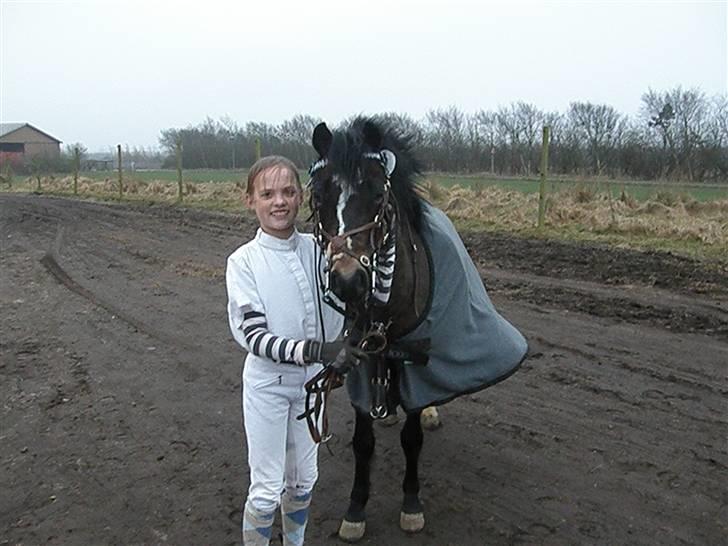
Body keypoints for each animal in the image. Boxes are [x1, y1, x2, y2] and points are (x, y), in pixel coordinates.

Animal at [305, 117, 528, 542]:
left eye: (378, 194)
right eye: (318, 197)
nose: (348, 280)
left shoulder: (416, 362)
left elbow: (412, 440)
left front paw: (411, 504)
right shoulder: (361, 357)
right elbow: (363, 441)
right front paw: (356, 509)